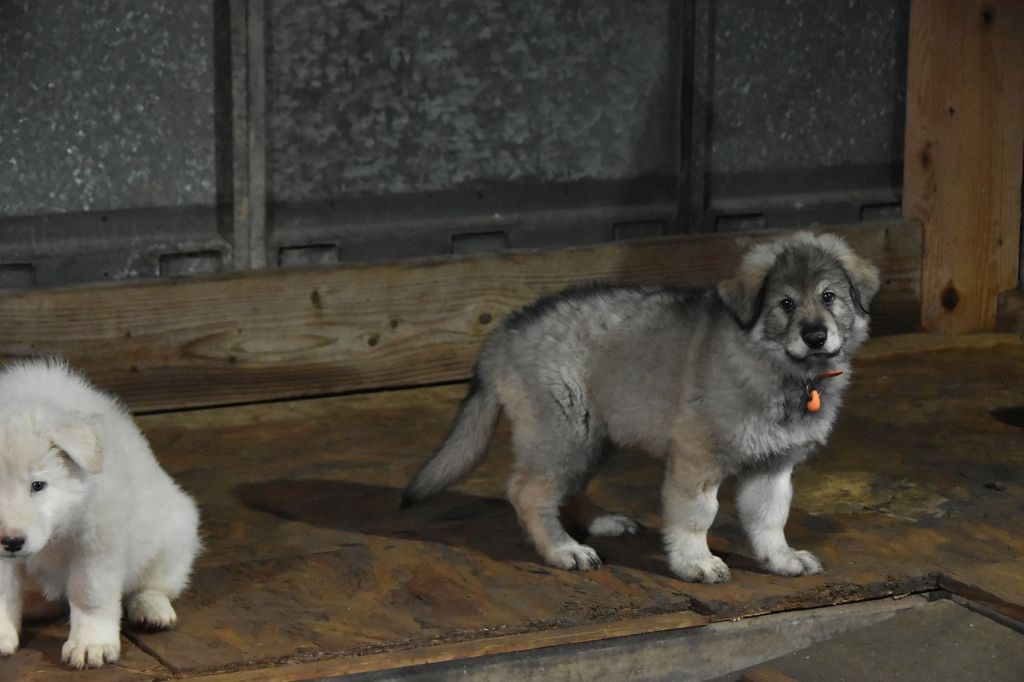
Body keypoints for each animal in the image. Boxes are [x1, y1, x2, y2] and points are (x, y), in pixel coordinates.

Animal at [0, 360, 200, 668]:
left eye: (38, 485)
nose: (11, 542)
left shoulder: (98, 540)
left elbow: (89, 591)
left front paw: (90, 643)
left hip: (173, 535)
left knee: (153, 585)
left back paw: (151, 609)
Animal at [403, 232, 879, 583]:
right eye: (785, 303)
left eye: (829, 297)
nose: (816, 336)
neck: (779, 367)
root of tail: (505, 330)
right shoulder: (697, 459)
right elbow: (697, 514)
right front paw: (695, 561)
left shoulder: (773, 465)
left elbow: (770, 517)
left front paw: (780, 558)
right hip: (564, 430)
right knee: (530, 492)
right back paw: (562, 549)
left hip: (593, 432)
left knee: (566, 487)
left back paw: (596, 523)